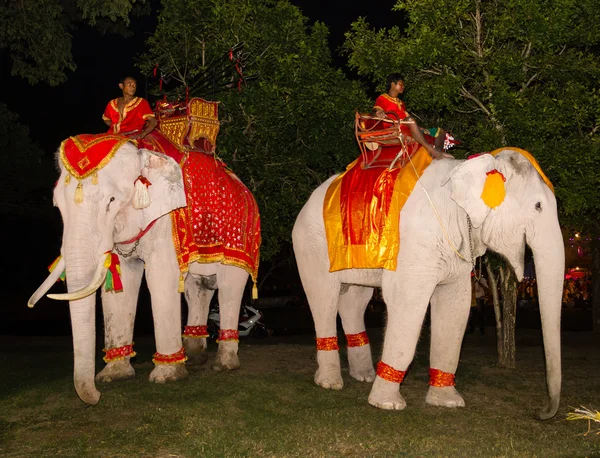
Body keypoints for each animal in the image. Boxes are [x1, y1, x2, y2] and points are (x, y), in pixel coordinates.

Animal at [292, 149, 564, 418]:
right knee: (324, 298)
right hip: (311, 244)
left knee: (354, 302)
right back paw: (330, 382)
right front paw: (388, 404)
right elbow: (408, 303)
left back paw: (364, 376)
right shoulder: (415, 243)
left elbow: (456, 307)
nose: (541, 412)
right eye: (538, 206)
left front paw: (448, 402)